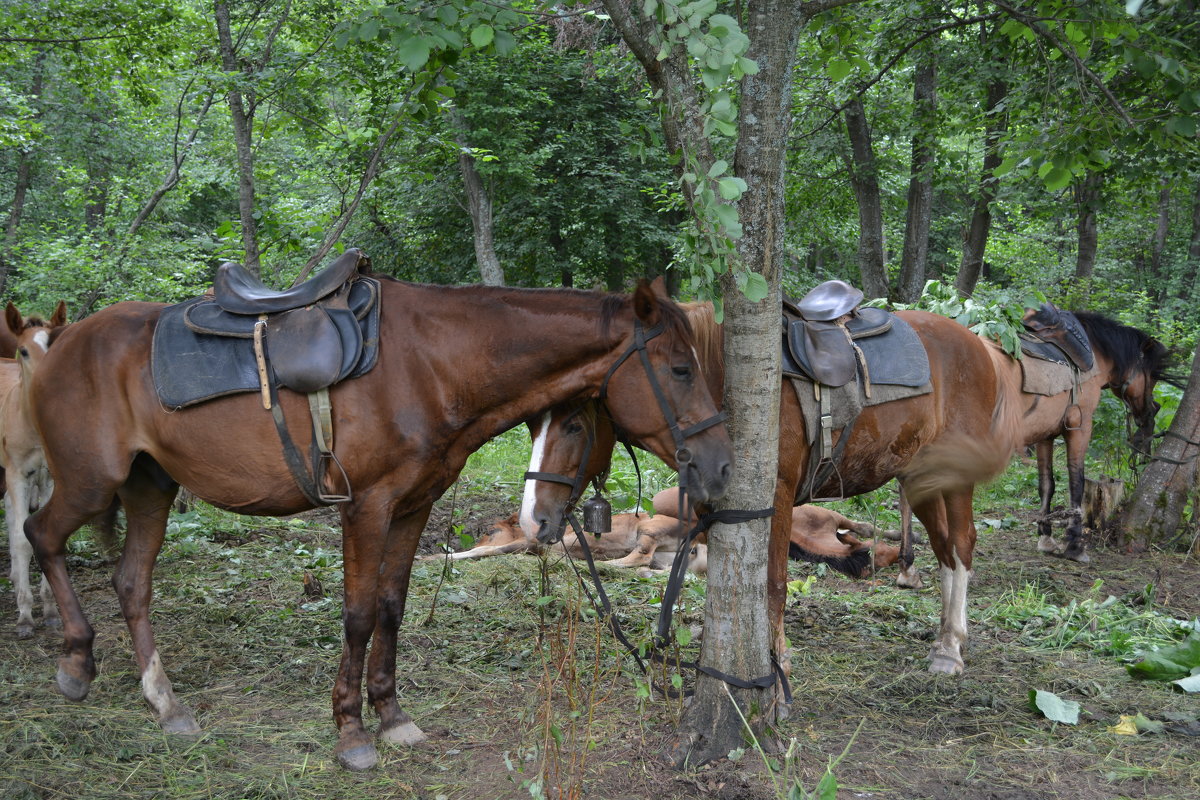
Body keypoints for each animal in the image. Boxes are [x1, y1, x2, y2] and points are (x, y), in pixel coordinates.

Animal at [520, 303, 1017, 686]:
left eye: (575, 424)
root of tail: (980, 346)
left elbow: (773, 585)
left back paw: (950, 648)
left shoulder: (774, 500)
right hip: (919, 478)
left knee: (961, 545)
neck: (716, 384)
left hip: (951, 478)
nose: (532, 519)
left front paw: (777, 661)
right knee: (944, 549)